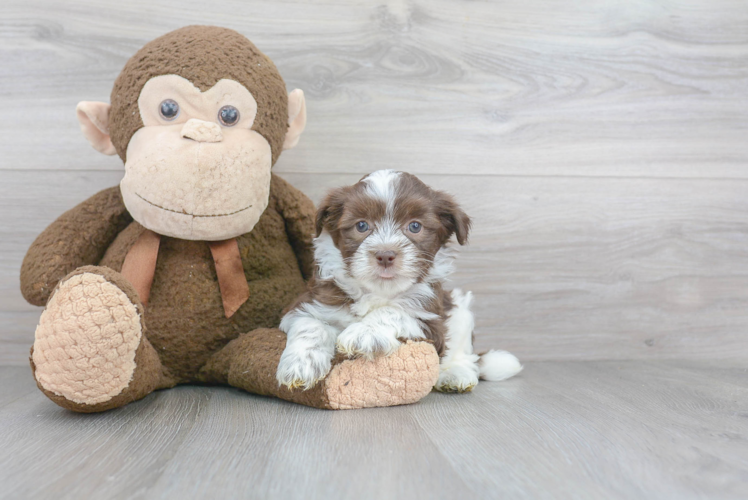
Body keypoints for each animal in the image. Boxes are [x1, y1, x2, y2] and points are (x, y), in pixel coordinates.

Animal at [274, 170, 520, 392]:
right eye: (361, 225)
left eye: (415, 226)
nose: (385, 255)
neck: (379, 291)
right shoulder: (307, 303)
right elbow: (310, 325)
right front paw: (301, 364)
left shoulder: (431, 323)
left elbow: (395, 311)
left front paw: (365, 332)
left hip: (460, 310)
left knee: (465, 354)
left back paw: (455, 375)